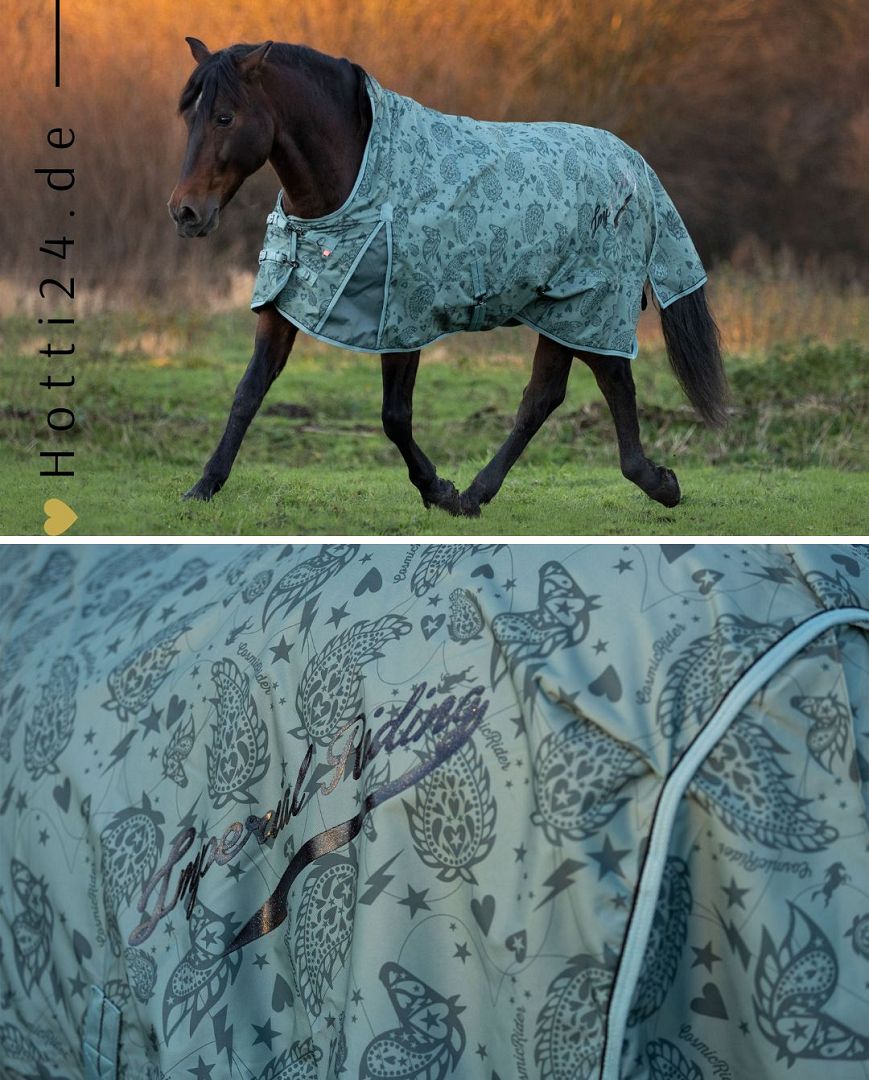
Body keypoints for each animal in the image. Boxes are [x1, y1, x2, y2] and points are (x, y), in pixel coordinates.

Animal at [169, 38, 728, 518]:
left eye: (225, 116)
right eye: (189, 116)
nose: (185, 212)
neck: (355, 178)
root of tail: (633, 163)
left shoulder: (400, 320)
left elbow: (394, 416)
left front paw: (436, 489)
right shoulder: (289, 301)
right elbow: (249, 392)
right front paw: (204, 486)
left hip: (589, 303)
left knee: (605, 383)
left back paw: (655, 484)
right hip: (559, 310)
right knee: (544, 398)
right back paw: (481, 494)